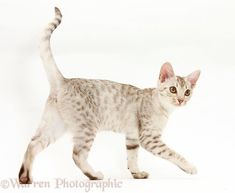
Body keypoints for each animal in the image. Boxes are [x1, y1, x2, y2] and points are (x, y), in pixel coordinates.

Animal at [18, 6, 200, 183]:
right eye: (173, 89)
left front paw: (137, 173)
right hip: (87, 128)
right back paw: (94, 175)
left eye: (187, 92)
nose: (181, 100)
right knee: (77, 155)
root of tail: (64, 80)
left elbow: (132, 158)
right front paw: (189, 167)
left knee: (33, 144)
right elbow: (172, 153)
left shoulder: (132, 138)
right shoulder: (149, 138)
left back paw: (25, 177)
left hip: (54, 125)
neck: (164, 108)